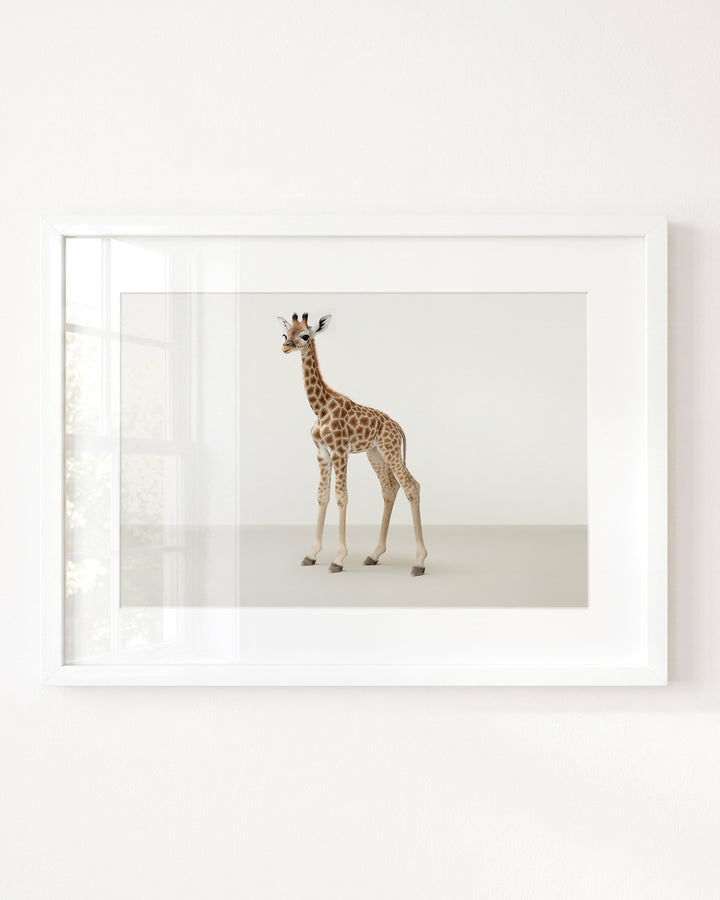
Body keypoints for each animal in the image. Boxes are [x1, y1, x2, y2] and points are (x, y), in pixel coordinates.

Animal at [277, 312, 428, 576]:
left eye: (305, 335)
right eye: (285, 334)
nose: (285, 347)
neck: (320, 408)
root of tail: (398, 426)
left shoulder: (340, 451)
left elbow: (341, 496)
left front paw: (338, 559)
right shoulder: (322, 452)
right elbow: (322, 496)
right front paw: (311, 555)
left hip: (389, 449)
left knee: (411, 485)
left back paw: (419, 562)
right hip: (375, 453)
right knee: (390, 489)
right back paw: (374, 554)